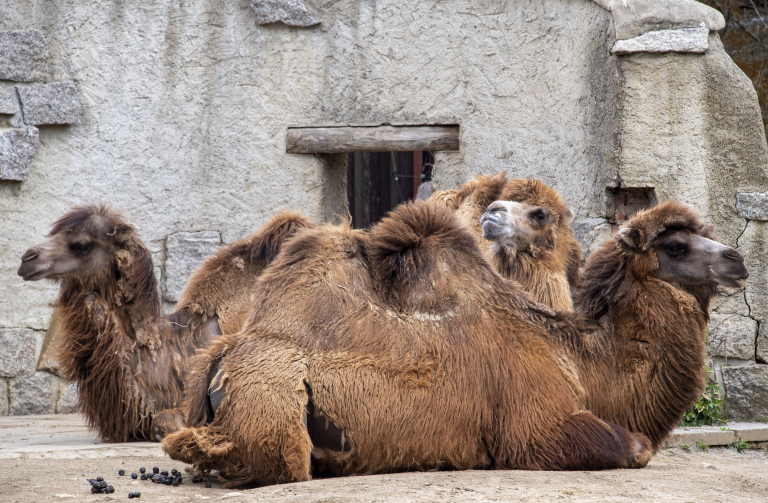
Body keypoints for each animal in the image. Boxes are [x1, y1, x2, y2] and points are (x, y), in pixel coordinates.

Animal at [162, 200, 744, 488]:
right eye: (676, 245)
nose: (737, 258)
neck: (579, 358)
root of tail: (217, 364)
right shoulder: (536, 427)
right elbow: (632, 447)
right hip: (275, 399)